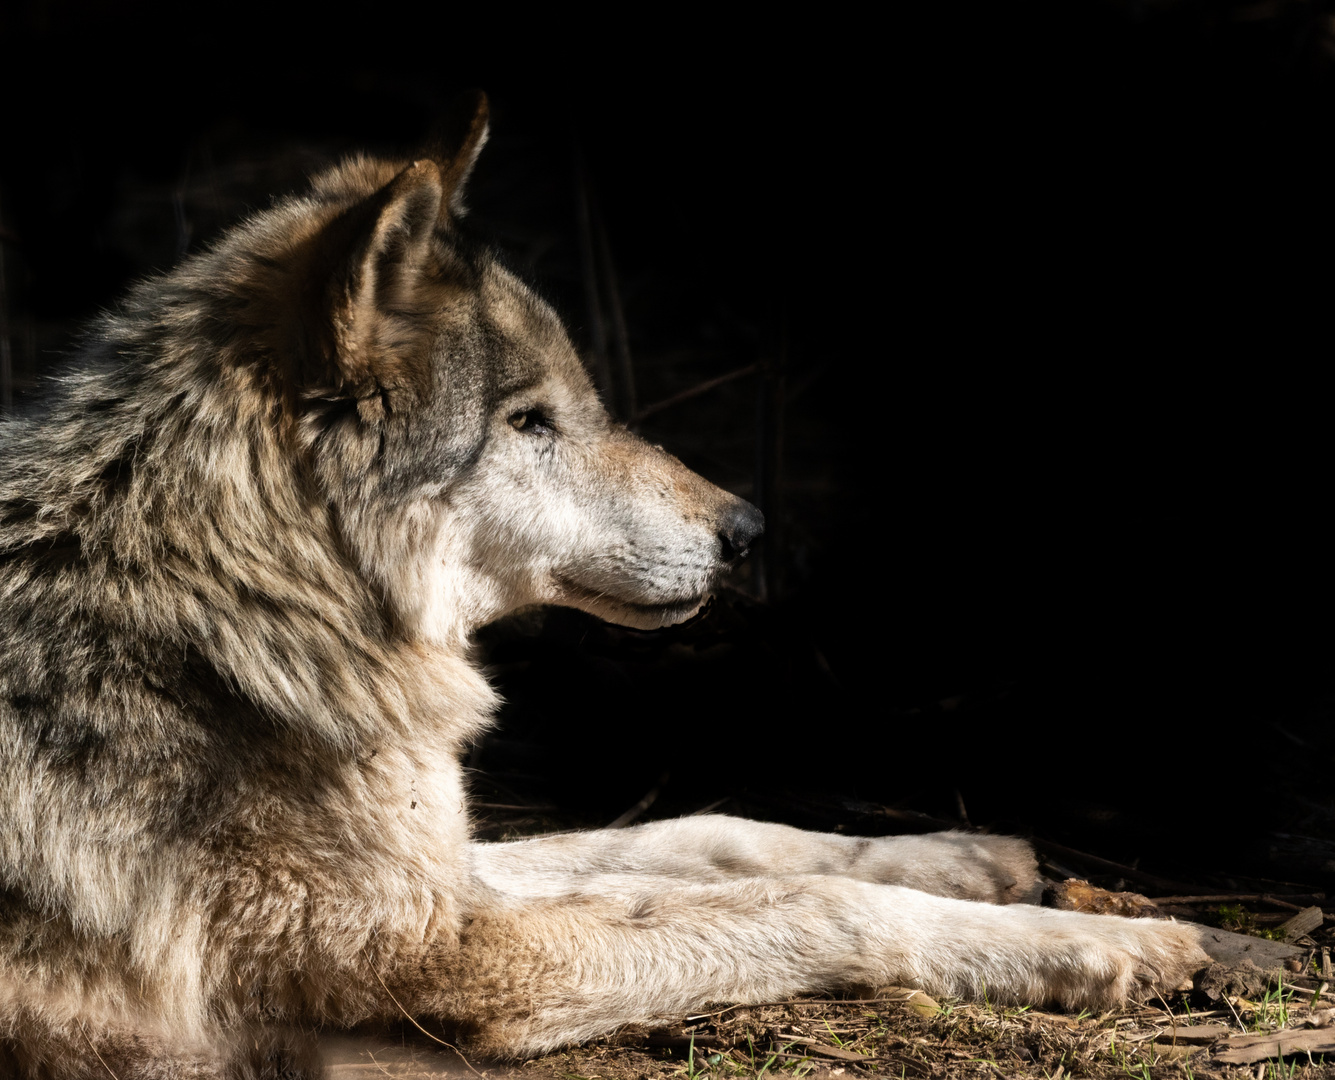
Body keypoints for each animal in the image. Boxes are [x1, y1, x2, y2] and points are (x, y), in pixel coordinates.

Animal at [0, 96, 1212, 1073]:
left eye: (572, 406)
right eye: (529, 423)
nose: (745, 530)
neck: (244, 597)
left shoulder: (448, 868)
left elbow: (716, 833)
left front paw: (965, 856)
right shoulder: (444, 952)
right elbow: (807, 899)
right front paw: (1104, 942)